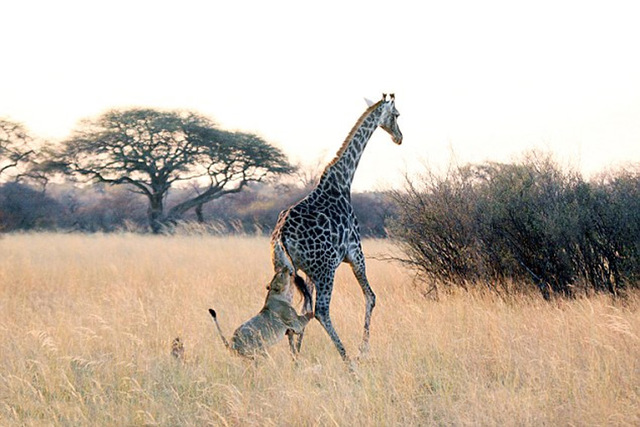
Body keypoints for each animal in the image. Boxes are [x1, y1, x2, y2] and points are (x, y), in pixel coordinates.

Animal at [268, 93, 400, 362]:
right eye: (397, 115)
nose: (399, 137)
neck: (343, 180)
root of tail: (282, 236)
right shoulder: (355, 253)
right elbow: (371, 297)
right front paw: (363, 350)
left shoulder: (307, 270)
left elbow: (303, 310)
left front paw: (298, 355)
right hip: (326, 269)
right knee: (321, 310)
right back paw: (348, 360)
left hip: (286, 268)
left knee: (291, 308)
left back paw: (295, 360)